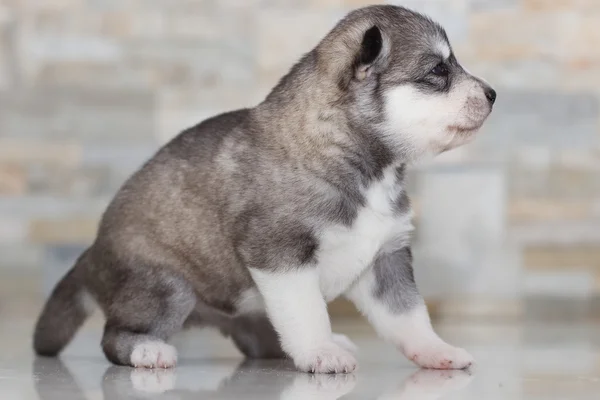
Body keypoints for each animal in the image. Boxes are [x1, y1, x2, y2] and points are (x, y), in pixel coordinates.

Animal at [32, 4, 494, 374]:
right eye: (437, 72)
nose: (492, 94)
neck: (356, 160)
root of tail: (91, 252)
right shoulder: (281, 255)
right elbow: (308, 311)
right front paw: (321, 352)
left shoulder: (386, 259)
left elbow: (410, 316)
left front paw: (436, 351)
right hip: (166, 287)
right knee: (114, 336)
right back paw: (148, 350)